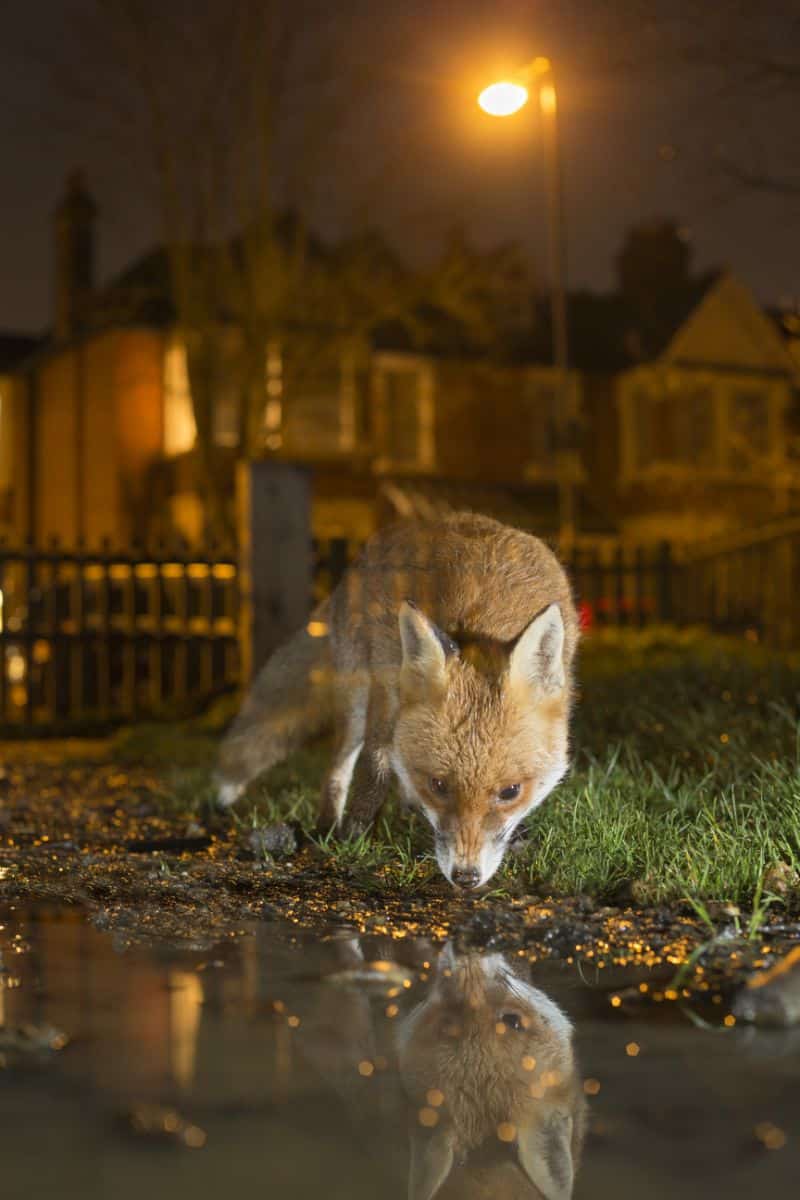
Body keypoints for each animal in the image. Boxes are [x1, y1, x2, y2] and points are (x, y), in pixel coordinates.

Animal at [215, 511, 578, 888]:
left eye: (510, 791)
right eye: (439, 785)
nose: (465, 877)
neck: (481, 621)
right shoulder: (388, 688)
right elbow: (375, 767)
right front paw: (355, 836)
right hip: (356, 695)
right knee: (340, 763)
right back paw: (328, 826)